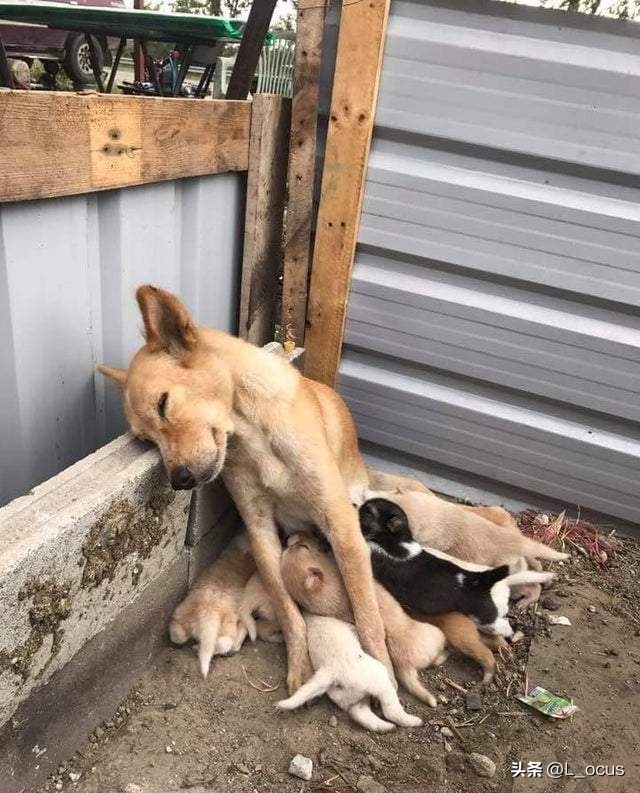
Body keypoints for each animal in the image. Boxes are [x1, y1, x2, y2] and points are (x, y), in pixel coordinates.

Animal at [170, 532, 255, 676]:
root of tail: (209, 612)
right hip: (226, 628)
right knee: (224, 644)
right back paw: (198, 647)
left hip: (180, 615)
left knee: (178, 635)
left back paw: (194, 646)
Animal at [274, 616, 420, 732]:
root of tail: (333, 672)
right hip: (378, 677)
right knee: (390, 709)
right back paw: (413, 721)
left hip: (349, 698)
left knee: (361, 715)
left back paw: (386, 727)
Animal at [282, 532, 448, 704]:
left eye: (302, 546)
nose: (288, 537)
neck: (321, 593)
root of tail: (405, 666)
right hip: (437, 634)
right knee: (436, 657)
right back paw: (444, 655)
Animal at [360, 498, 556, 636]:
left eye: (368, 512)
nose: (357, 505)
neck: (400, 540)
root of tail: (484, 582)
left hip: (485, 617)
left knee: (502, 625)